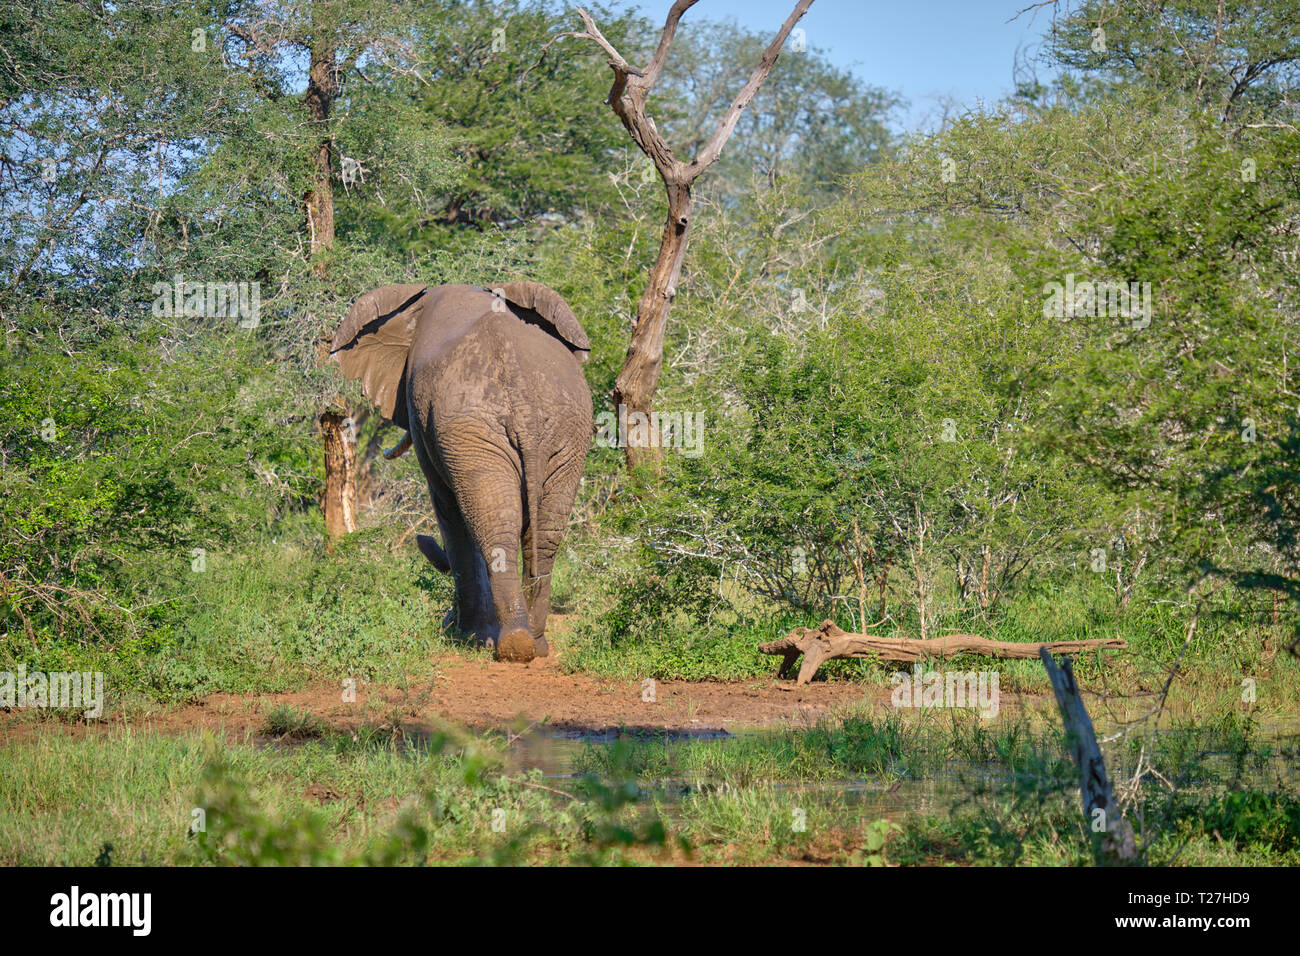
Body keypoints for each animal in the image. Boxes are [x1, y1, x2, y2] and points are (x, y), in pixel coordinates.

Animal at [329, 282, 593, 663]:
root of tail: (523, 400)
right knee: (540, 531)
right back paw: (535, 644)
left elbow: (447, 509)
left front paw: (464, 635)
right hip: (564, 429)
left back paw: (513, 646)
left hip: (474, 430)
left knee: (492, 523)